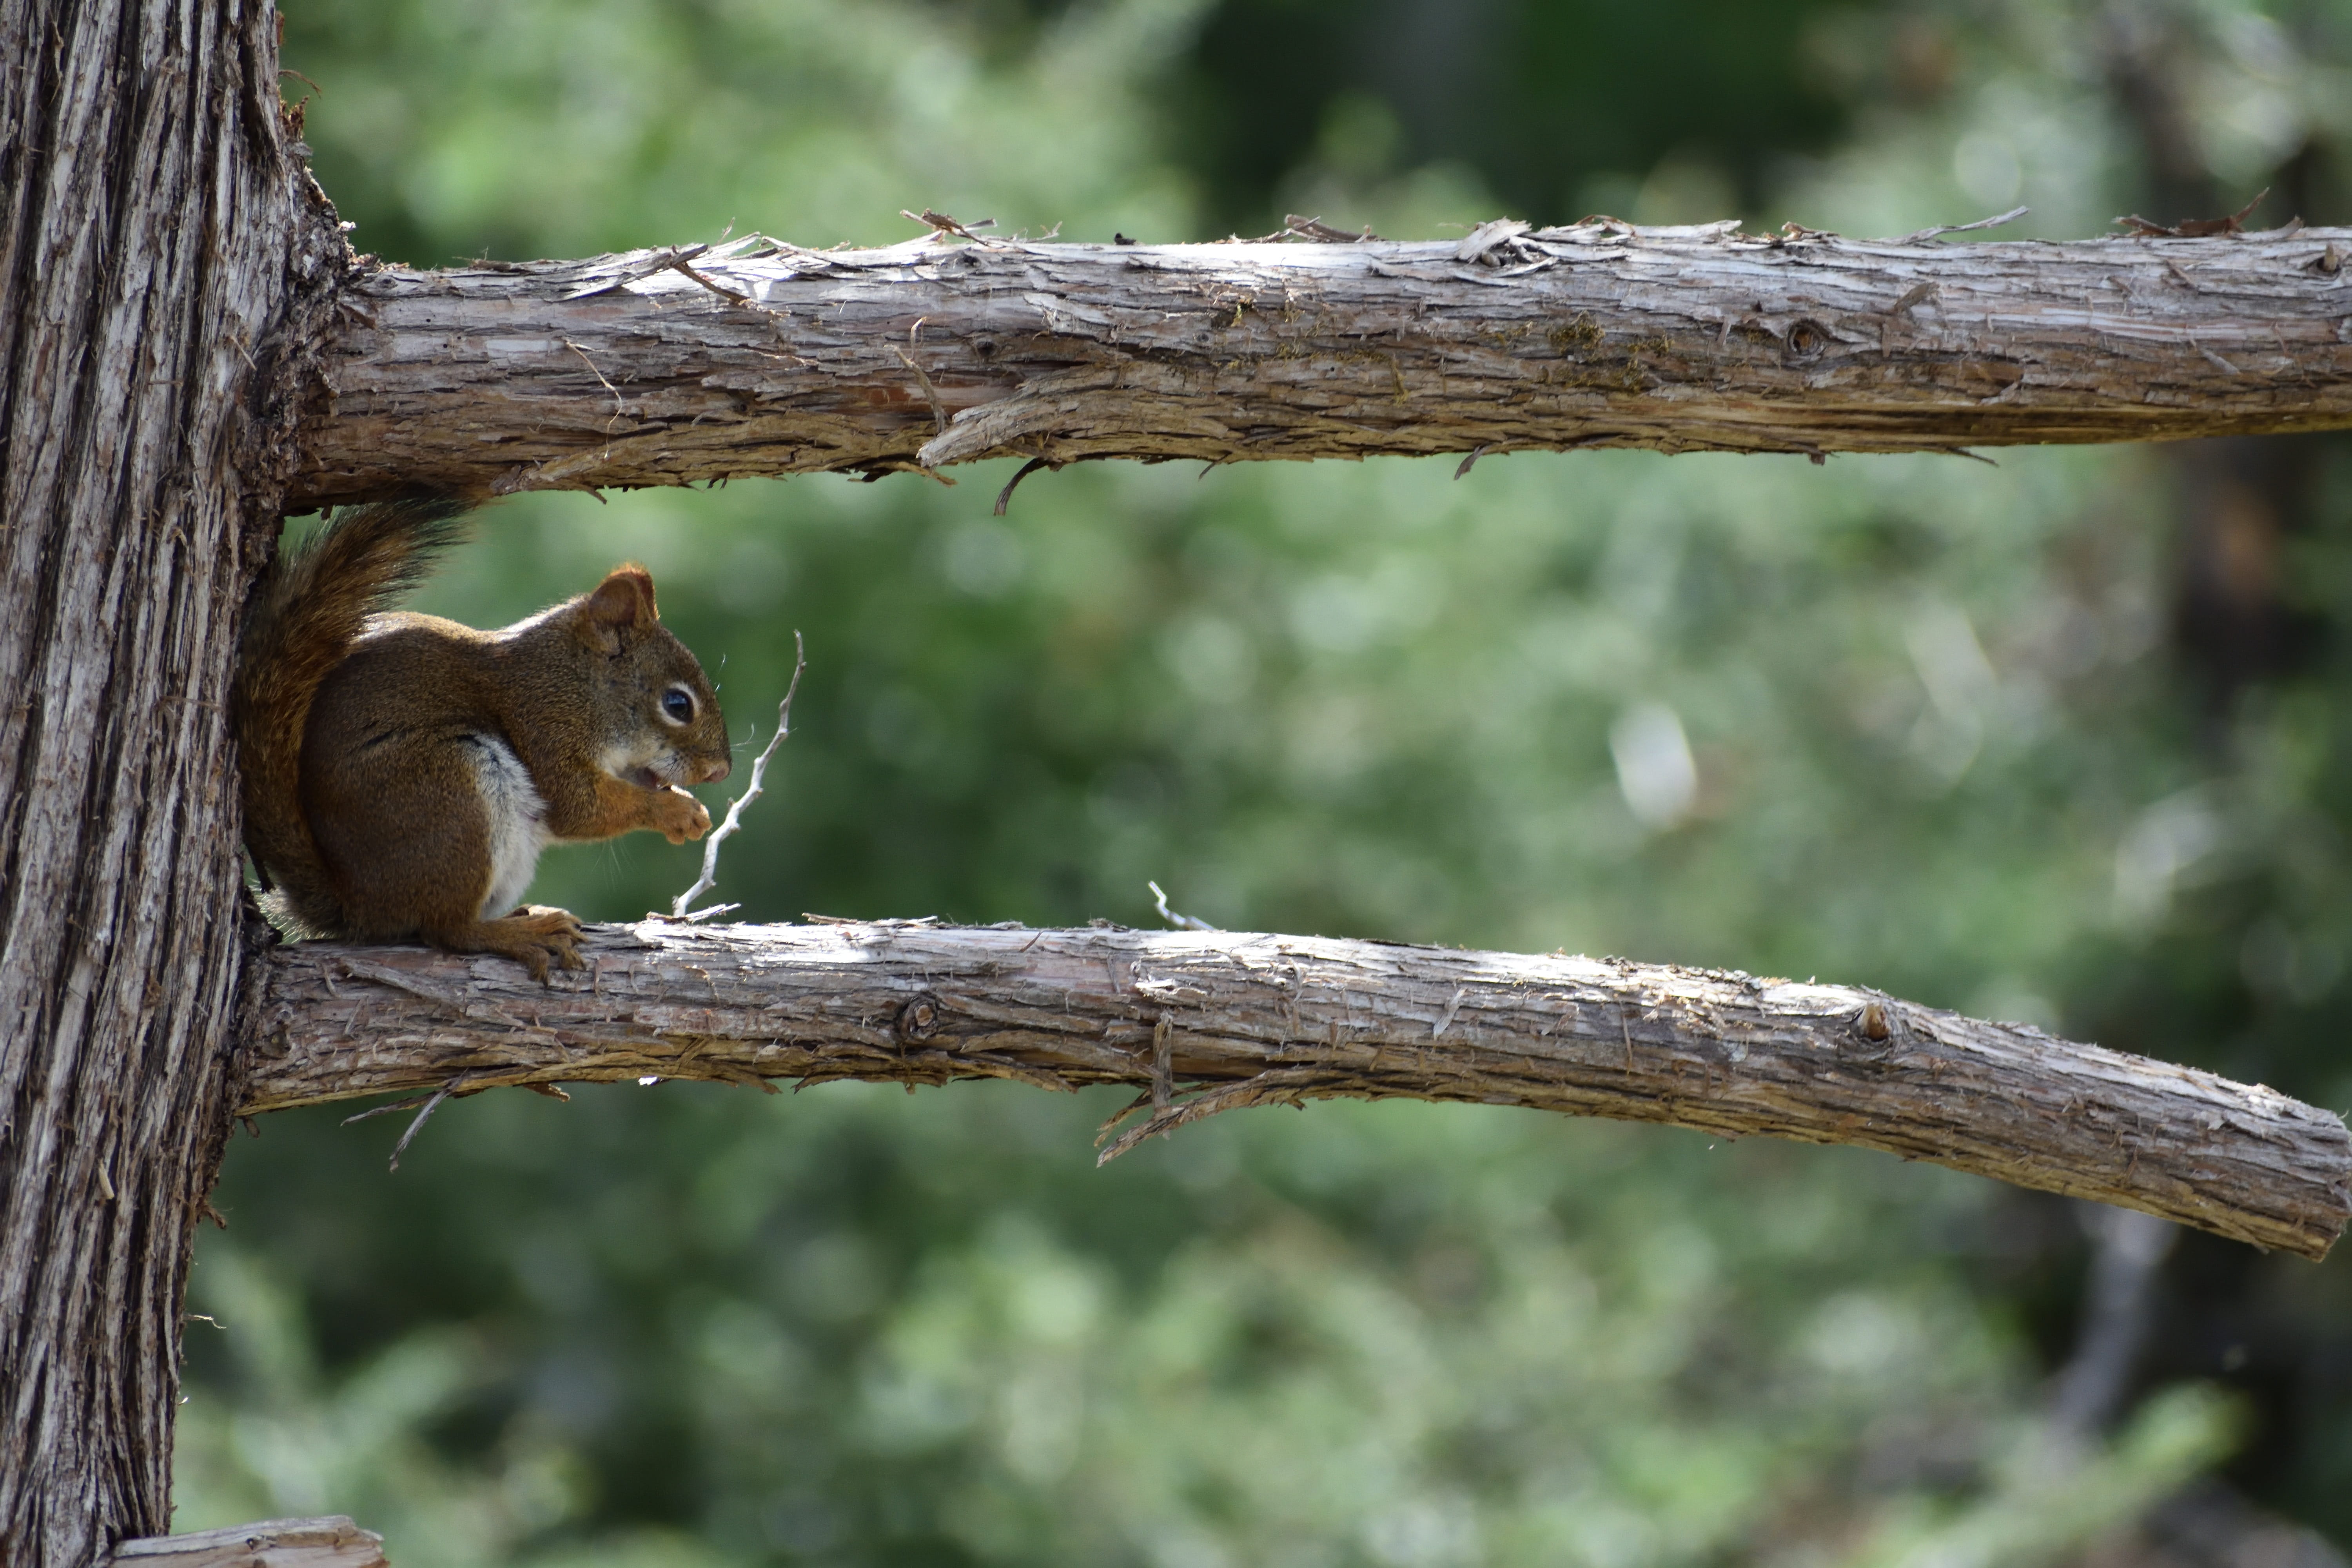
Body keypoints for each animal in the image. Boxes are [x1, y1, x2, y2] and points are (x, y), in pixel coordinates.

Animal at [234, 499, 733, 980]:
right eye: (678, 704)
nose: (721, 770)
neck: (572, 680)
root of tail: (358, 905)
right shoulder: (544, 726)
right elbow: (579, 808)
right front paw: (677, 812)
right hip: (450, 789)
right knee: (447, 929)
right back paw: (524, 934)